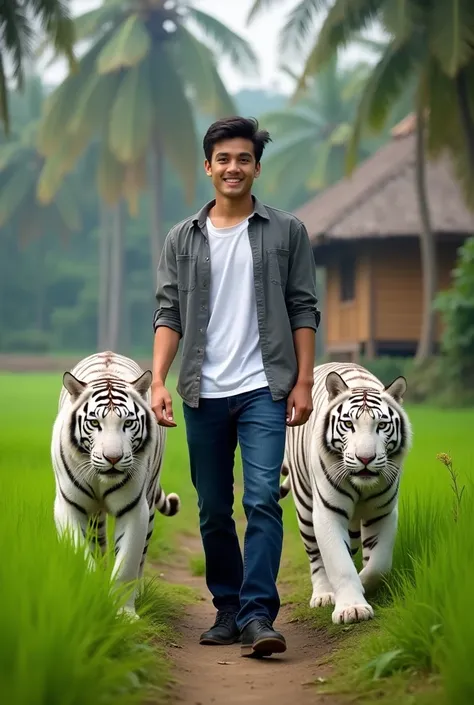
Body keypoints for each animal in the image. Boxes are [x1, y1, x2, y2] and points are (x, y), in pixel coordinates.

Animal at [50, 350, 180, 616]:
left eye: (128, 423)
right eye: (94, 423)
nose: (113, 458)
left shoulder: (134, 509)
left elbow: (127, 564)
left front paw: (124, 614)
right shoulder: (69, 507)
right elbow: (82, 555)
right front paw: (92, 595)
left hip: (150, 504)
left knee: (142, 555)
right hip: (95, 515)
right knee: (98, 544)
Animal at [282, 364, 412, 620]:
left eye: (381, 426)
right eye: (349, 424)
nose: (365, 458)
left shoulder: (383, 513)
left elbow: (378, 565)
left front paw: (362, 587)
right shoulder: (328, 513)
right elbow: (339, 563)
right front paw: (352, 607)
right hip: (305, 507)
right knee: (316, 556)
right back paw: (323, 594)